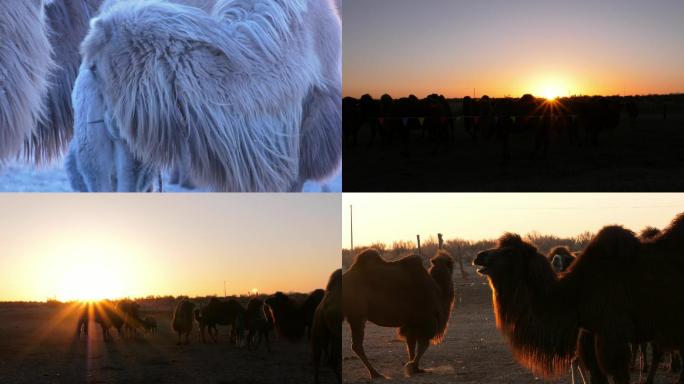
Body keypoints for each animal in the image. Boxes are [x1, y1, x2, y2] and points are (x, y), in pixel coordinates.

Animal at [342, 249, 454, 378]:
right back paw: (375, 373)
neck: (438, 290)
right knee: (357, 345)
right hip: (357, 315)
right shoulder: (425, 318)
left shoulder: (411, 322)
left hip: (355, 316)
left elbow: (411, 344)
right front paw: (411, 366)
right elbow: (424, 344)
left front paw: (416, 368)